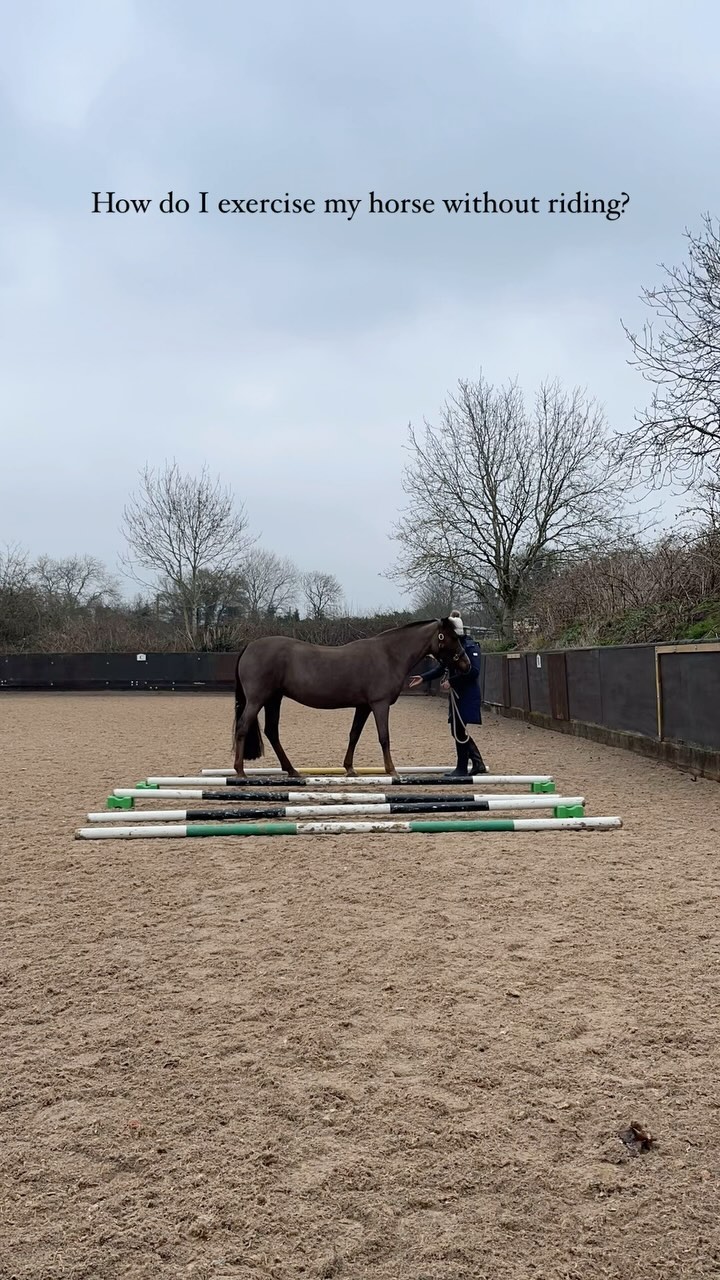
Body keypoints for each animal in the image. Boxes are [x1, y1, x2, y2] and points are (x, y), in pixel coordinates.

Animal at [231, 617, 471, 778]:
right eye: (452, 637)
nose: (466, 664)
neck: (389, 655)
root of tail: (250, 646)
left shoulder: (363, 706)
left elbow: (354, 734)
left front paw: (350, 768)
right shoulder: (380, 704)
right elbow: (384, 737)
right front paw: (392, 770)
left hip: (274, 699)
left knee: (272, 732)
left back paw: (292, 770)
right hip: (257, 699)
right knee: (243, 727)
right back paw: (240, 771)